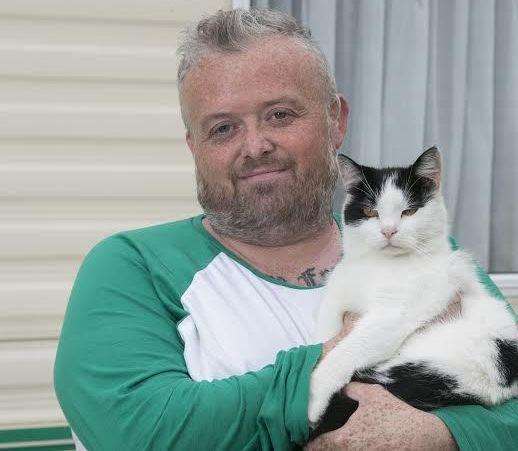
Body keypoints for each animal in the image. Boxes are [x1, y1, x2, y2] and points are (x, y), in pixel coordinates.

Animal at [308, 148, 518, 438]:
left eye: (409, 211)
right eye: (370, 211)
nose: (388, 230)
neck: (378, 266)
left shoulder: (393, 317)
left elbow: (345, 350)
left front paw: (314, 400)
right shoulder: (336, 295)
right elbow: (326, 333)